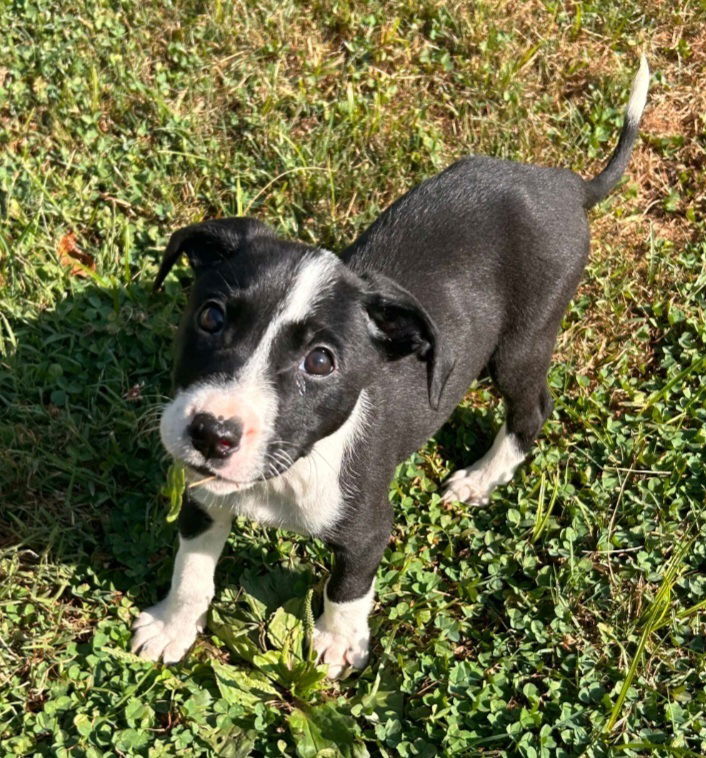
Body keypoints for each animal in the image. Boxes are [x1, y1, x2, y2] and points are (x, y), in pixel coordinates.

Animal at [132, 58, 648, 676]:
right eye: (210, 317)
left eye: (320, 361)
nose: (212, 433)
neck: (291, 467)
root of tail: (567, 184)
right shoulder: (206, 497)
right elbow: (192, 569)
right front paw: (172, 625)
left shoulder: (368, 527)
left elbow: (348, 587)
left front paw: (336, 643)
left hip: (523, 342)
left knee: (532, 409)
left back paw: (481, 478)